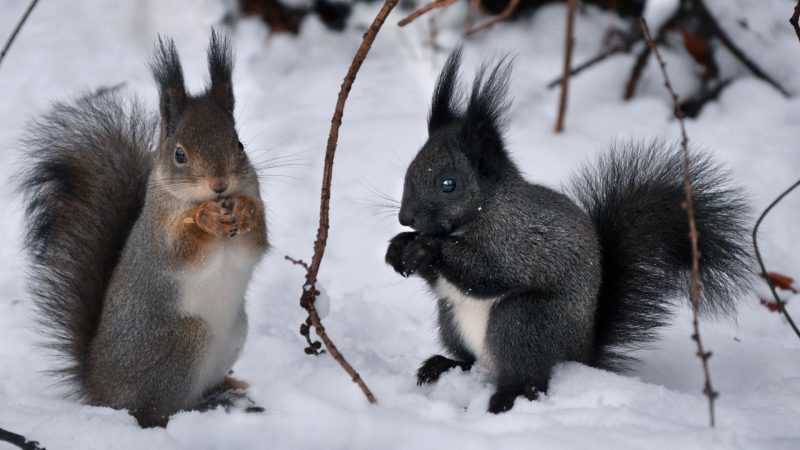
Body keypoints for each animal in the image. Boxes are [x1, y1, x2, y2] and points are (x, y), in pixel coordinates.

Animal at [18, 30, 268, 426]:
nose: (220, 185)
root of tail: (99, 389)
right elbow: (179, 252)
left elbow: (255, 244)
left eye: (239, 145)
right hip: (183, 342)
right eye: (179, 154)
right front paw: (206, 219)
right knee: (152, 411)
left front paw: (244, 210)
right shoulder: (156, 233)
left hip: (234, 334)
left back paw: (227, 387)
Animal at [384, 47, 752, 414]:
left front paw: (426, 249)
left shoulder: (518, 241)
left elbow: (486, 272)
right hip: (452, 319)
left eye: (449, 184)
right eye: (410, 169)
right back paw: (442, 365)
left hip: (523, 322)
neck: (485, 210)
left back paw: (506, 398)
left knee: (529, 377)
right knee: (471, 361)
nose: (406, 218)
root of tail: (582, 355)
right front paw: (398, 248)